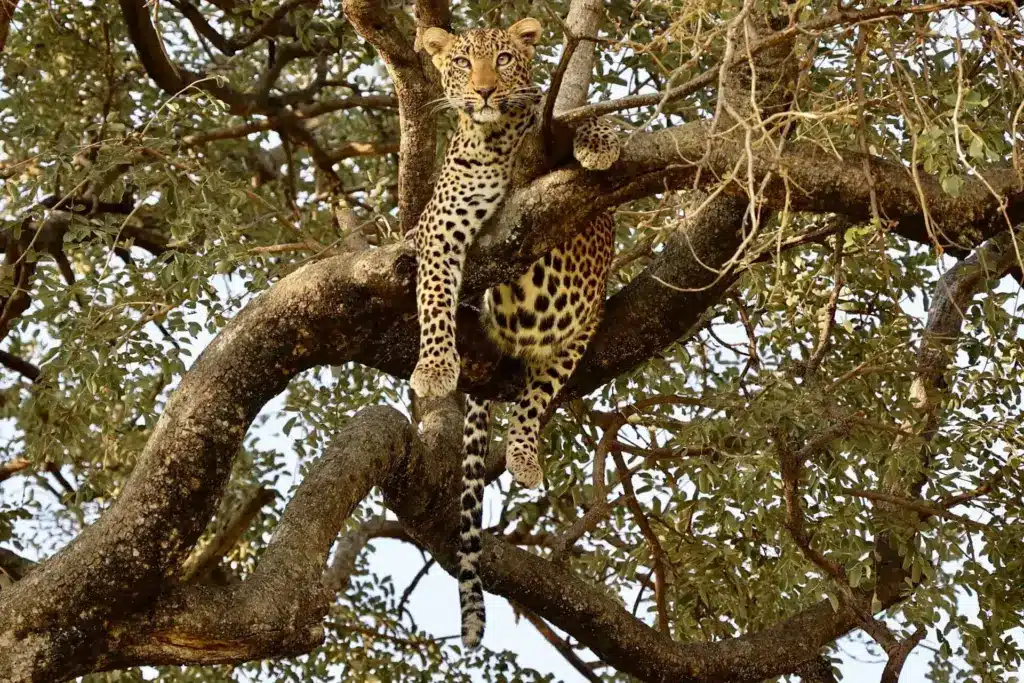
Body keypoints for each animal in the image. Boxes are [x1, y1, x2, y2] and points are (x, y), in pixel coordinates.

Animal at [413, 17, 619, 649]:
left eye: (504, 59)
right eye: (461, 62)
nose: (483, 91)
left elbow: (583, 120)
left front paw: (600, 140)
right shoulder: (437, 231)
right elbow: (434, 300)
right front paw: (434, 368)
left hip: (583, 325)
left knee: (536, 398)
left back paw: (526, 455)